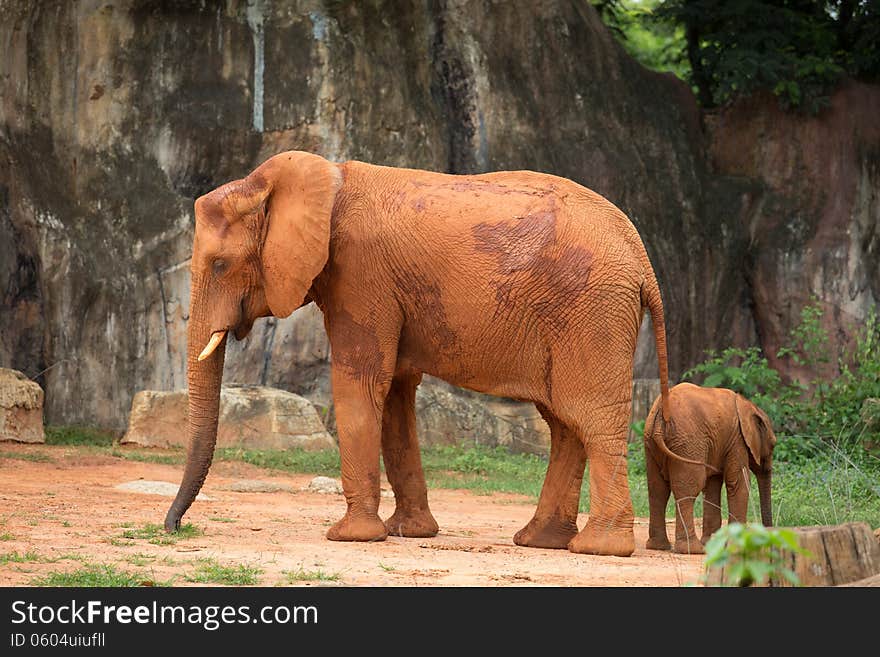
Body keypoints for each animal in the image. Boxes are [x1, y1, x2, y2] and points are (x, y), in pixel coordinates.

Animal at [165, 149, 672, 552]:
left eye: (220, 264)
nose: (173, 527)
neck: (322, 177)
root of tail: (641, 255)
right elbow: (394, 393)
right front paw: (408, 533)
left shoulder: (360, 274)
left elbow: (360, 383)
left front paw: (350, 537)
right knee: (564, 422)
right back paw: (541, 541)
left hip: (591, 311)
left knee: (590, 416)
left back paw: (599, 548)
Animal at [640, 380, 776, 552]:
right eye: (773, 445)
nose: (769, 539)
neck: (749, 405)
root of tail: (661, 413)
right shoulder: (737, 440)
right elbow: (738, 484)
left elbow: (713, 485)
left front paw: (713, 542)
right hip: (688, 443)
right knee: (689, 489)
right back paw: (692, 550)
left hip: (651, 442)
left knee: (657, 491)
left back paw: (659, 546)